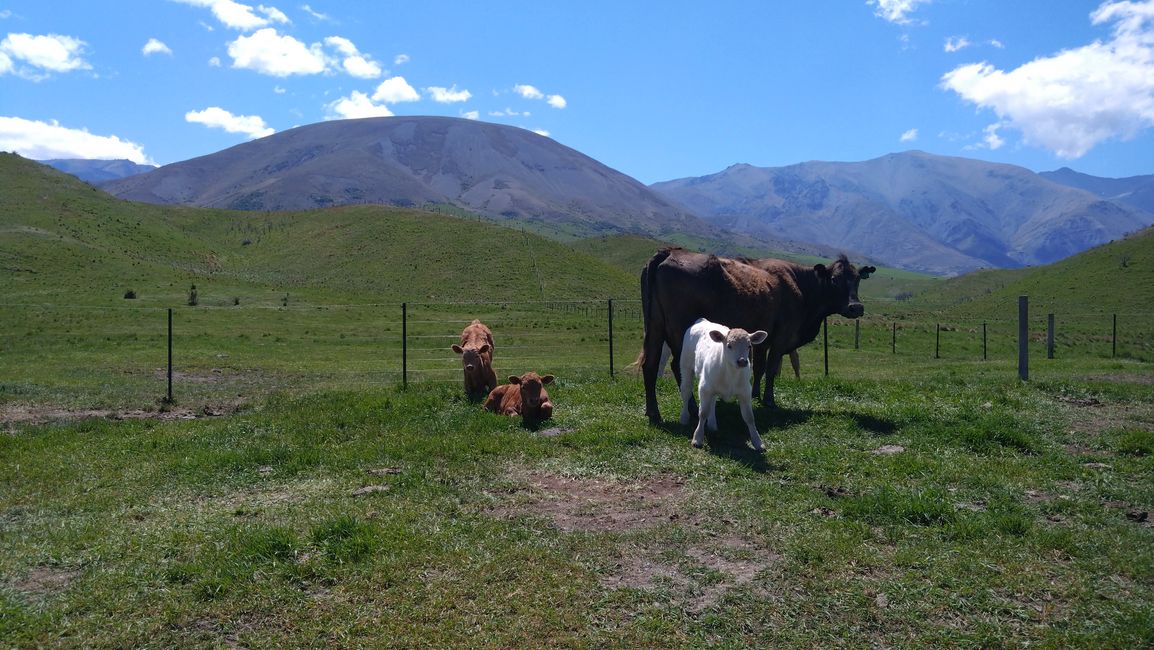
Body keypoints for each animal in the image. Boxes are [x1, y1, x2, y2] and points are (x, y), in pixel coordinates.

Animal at [641, 247, 872, 424]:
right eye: (834, 280)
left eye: (858, 279)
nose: (856, 307)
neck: (801, 286)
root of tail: (670, 251)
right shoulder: (781, 338)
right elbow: (770, 369)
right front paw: (769, 400)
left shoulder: (762, 340)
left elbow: (759, 368)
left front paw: (755, 394)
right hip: (680, 334)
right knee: (678, 369)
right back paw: (690, 408)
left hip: (654, 327)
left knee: (650, 365)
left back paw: (654, 413)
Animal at [678, 318, 770, 450]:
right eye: (729, 345)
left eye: (749, 346)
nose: (742, 361)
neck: (731, 374)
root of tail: (702, 320)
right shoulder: (704, 387)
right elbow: (703, 412)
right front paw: (697, 438)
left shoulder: (745, 391)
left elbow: (749, 417)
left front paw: (758, 442)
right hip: (686, 366)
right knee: (686, 391)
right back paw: (684, 418)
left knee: (712, 401)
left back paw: (712, 424)